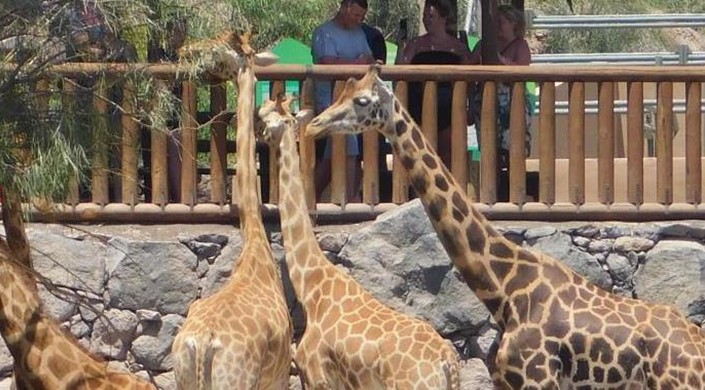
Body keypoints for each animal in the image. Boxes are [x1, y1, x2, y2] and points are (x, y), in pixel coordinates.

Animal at [170, 32, 292, 388]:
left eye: (221, 51)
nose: (186, 52)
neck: (255, 244)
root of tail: (202, 341)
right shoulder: (278, 375)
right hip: (235, 380)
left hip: (183, 376)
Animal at [304, 65, 705, 388]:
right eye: (341, 93)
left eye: (362, 101)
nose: (313, 125)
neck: (505, 290)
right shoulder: (506, 381)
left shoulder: (537, 379)